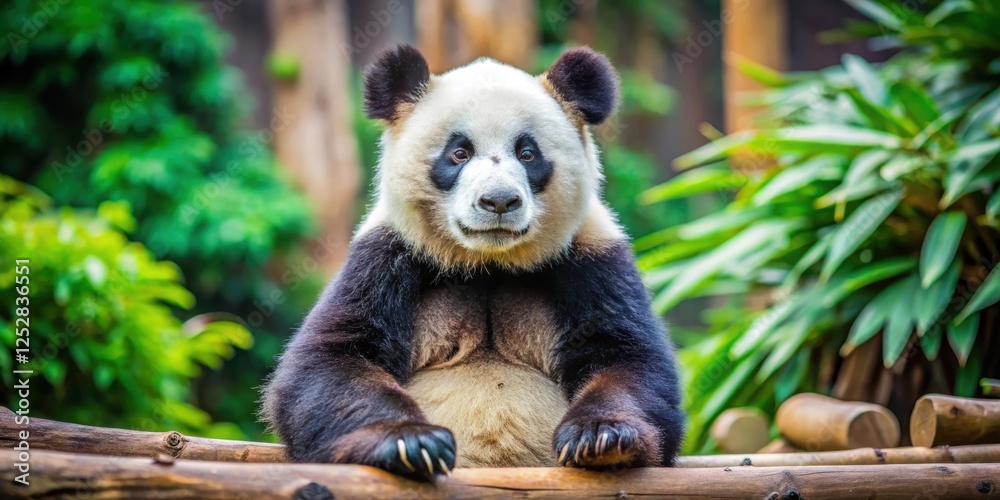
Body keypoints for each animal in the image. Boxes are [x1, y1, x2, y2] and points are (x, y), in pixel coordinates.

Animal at [262, 44, 684, 478]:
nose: (498, 201)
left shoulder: (592, 258)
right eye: (459, 153)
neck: (488, 261)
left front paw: (602, 438)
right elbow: (333, 360)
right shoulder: (385, 255)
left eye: (527, 153)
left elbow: (626, 357)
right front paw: (411, 442)